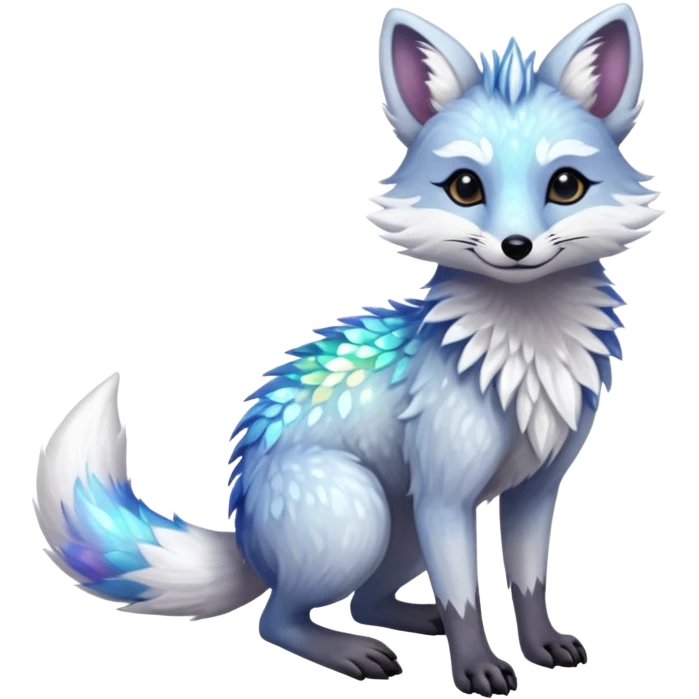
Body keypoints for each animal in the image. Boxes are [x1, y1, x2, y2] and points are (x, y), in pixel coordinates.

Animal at [33, 4, 661, 696]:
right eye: (465, 187)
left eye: (567, 185)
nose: (516, 247)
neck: (524, 357)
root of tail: (246, 530)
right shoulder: (445, 496)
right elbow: (465, 597)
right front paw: (476, 670)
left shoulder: (536, 488)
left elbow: (527, 581)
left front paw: (542, 644)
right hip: (363, 512)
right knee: (278, 619)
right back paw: (352, 651)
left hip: (400, 528)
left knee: (363, 601)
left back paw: (409, 621)